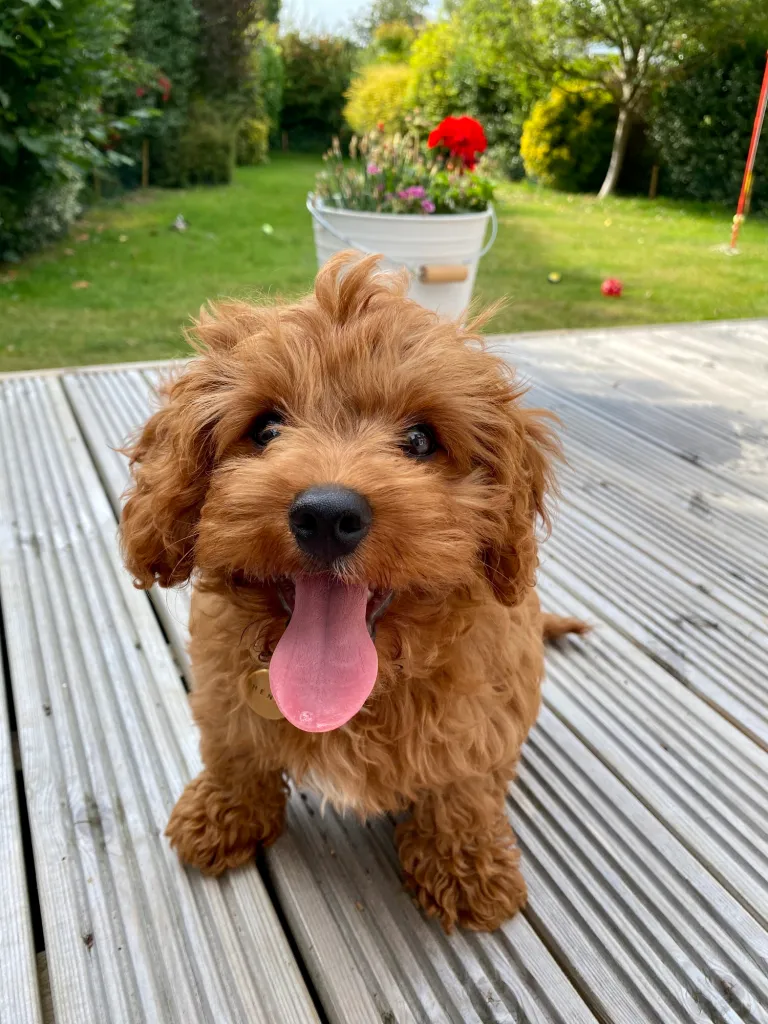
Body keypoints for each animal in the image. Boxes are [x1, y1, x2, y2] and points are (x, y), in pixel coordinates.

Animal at [123, 251, 585, 933]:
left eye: (420, 440)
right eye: (265, 428)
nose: (326, 514)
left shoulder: (487, 710)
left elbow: (464, 782)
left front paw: (466, 868)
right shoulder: (222, 683)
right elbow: (235, 747)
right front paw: (223, 813)